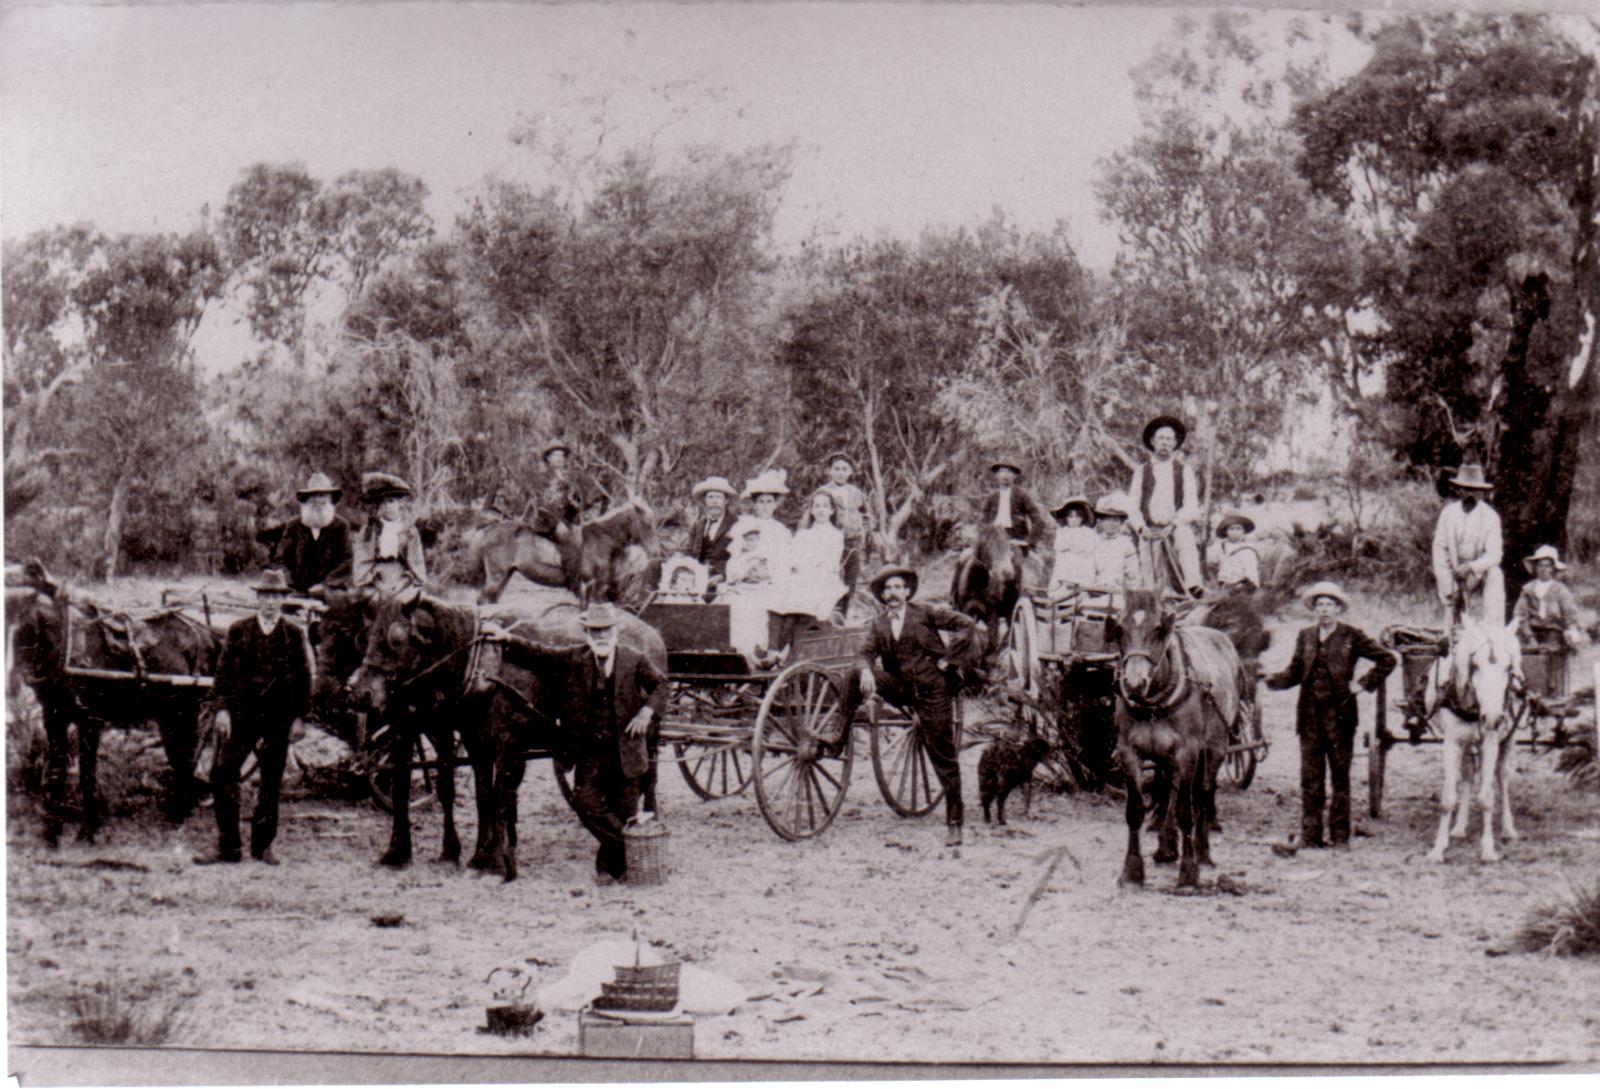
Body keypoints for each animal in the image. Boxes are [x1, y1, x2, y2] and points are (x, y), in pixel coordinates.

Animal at [6, 559, 216, 837]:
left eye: (24, 628)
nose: (10, 685)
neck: (66, 646)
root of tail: (205, 632)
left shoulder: (89, 721)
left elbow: (86, 774)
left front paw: (88, 830)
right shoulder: (53, 718)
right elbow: (56, 771)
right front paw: (52, 831)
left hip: (188, 709)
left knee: (187, 755)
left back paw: (180, 811)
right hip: (169, 712)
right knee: (181, 755)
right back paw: (178, 810)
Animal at [473, 495, 656, 607]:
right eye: (646, 523)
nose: (655, 550)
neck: (600, 540)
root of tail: (489, 529)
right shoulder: (589, 587)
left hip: (505, 575)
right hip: (496, 576)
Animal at [1107, 585, 1241, 882]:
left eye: (1159, 629)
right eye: (1120, 628)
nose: (1134, 683)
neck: (1154, 703)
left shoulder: (1188, 752)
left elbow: (1185, 810)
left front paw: (1188, 870)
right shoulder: (1129, 752)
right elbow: (1136, 809)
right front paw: (1132, 869)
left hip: (1214, 748)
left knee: (1202, 793)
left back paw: (1202, 852)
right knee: (1169, 789)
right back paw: (1166, 847)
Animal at [1427, 623, 1523, 863]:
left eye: (1509, 668)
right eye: (1475, 665)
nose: (1492, 718)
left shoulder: (1490, 742)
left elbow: (1486, 797)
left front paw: (1488, 849)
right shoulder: (1452, 742)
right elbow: (1448, 798)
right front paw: (1438, 848)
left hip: (1507, 740)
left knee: (1502, 778)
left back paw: (1508, 829)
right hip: (1467, 744)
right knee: (1469, 775)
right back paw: (1459, 828)